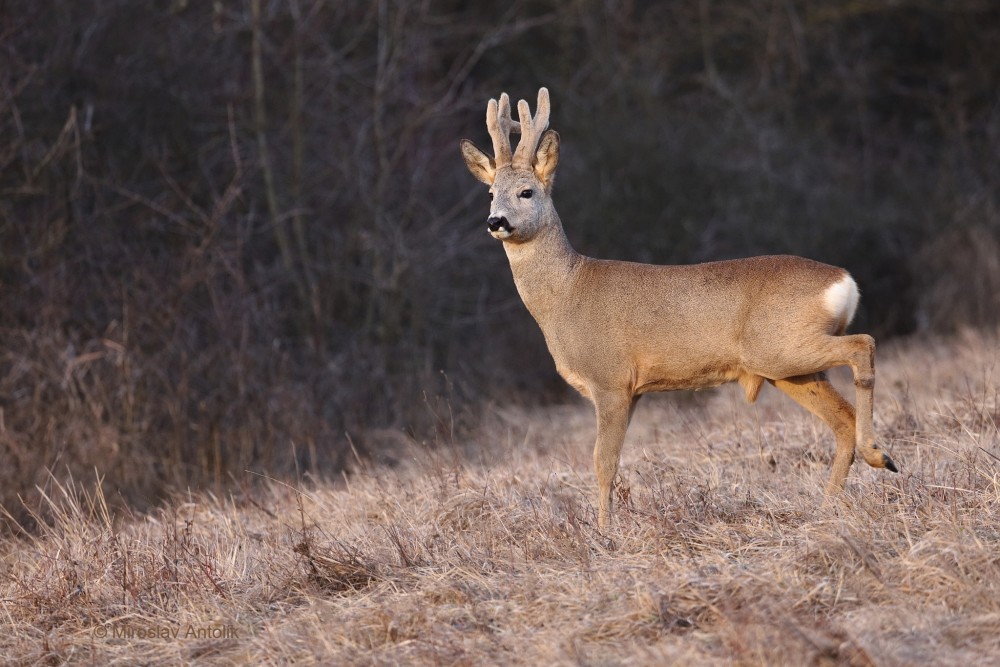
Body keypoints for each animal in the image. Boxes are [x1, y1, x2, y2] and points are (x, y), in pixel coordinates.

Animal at [460, 88, 900, 528]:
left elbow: (603, 462)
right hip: (787, 368)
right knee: (842, 419)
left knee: (863, 344)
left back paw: (879, 456)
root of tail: (844, 280)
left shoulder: (610, 379)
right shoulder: (633, 389)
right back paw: (830, 506)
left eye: (527, 192)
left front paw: (604, 532)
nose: (496, 221)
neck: (566, 293)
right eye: (490, 193)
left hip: (778, 346)